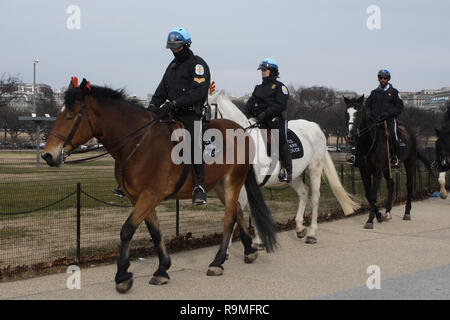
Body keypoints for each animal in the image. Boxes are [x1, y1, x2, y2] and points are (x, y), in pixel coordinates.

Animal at [41, 79, 278, 294]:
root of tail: (240, 130)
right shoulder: (139, 198)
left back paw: (218, 261)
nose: (47, 155)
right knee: (237, 211)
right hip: (220, 185)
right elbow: (155, 232)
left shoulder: (150, 195)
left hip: (233, 181)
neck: (138, 143)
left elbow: (127, 230)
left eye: (71, 116)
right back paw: (248, 250)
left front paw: (122, 275)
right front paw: (162, 269)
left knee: (229, 218)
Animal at [207, 91, 358, 246]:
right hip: (292, 174)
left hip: (314, 168)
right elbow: (251, 209)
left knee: (315, 197)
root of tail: (314, 126)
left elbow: (236, 210)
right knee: (304, 192)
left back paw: (312, 233)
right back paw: (299, 227)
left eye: (206, 110)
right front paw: (258, 240)